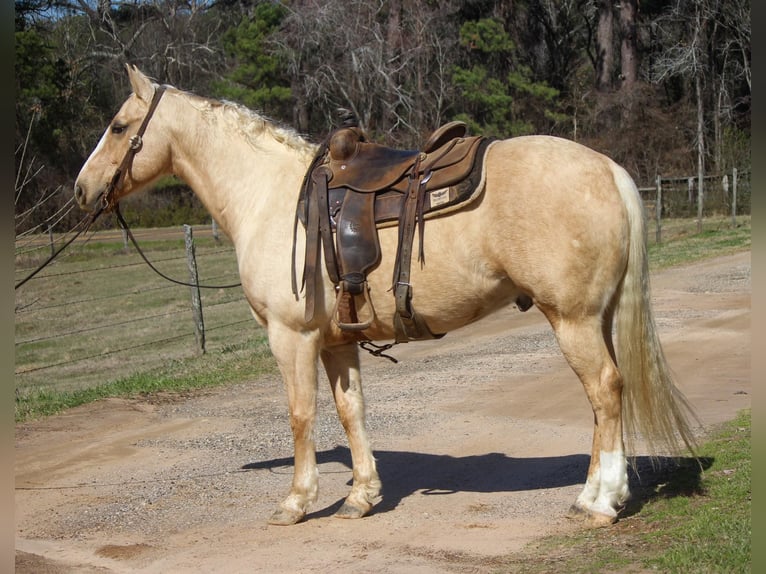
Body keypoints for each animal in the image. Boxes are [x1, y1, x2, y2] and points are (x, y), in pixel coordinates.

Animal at [75, 65, 700, 528]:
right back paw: (595, 494)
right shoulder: (335, 342)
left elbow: (301, 414)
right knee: (604, 396)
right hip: (596, 317)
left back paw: (601, 502)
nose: (82, 190)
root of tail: (609, 169)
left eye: (118, 126)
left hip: (572, 319)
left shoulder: (291, 337)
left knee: (606, 391)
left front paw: (296, 501)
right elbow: (351, 411)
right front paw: (361, 496)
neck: (270, 196)